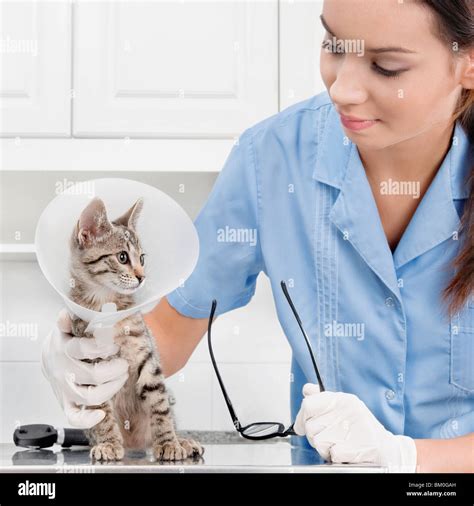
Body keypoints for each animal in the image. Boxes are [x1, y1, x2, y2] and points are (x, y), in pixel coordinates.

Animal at [64, 197, 203, 462]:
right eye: (122, 257)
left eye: (143, 258)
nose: (142, 276)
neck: (106, 306)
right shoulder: (91, 367)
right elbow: (102, 413)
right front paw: (108, 443)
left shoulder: (146, 358)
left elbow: (159, 406)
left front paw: (168, 443)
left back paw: (183, 441)